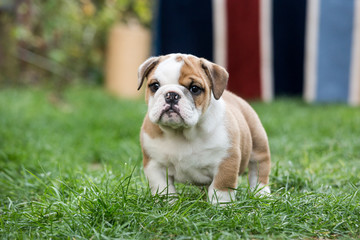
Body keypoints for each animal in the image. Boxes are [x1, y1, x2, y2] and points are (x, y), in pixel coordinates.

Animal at [137, 53, 270, 203]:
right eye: (155, 86)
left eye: (195, 89)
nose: (171, 95)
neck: (181, 132)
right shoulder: (155, 165)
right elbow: (163, 189)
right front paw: (167, 204)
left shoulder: (226, 162)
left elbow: (221, 188)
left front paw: (221, 206)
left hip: (258, 145)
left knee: (259, 170)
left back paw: (262, 194)